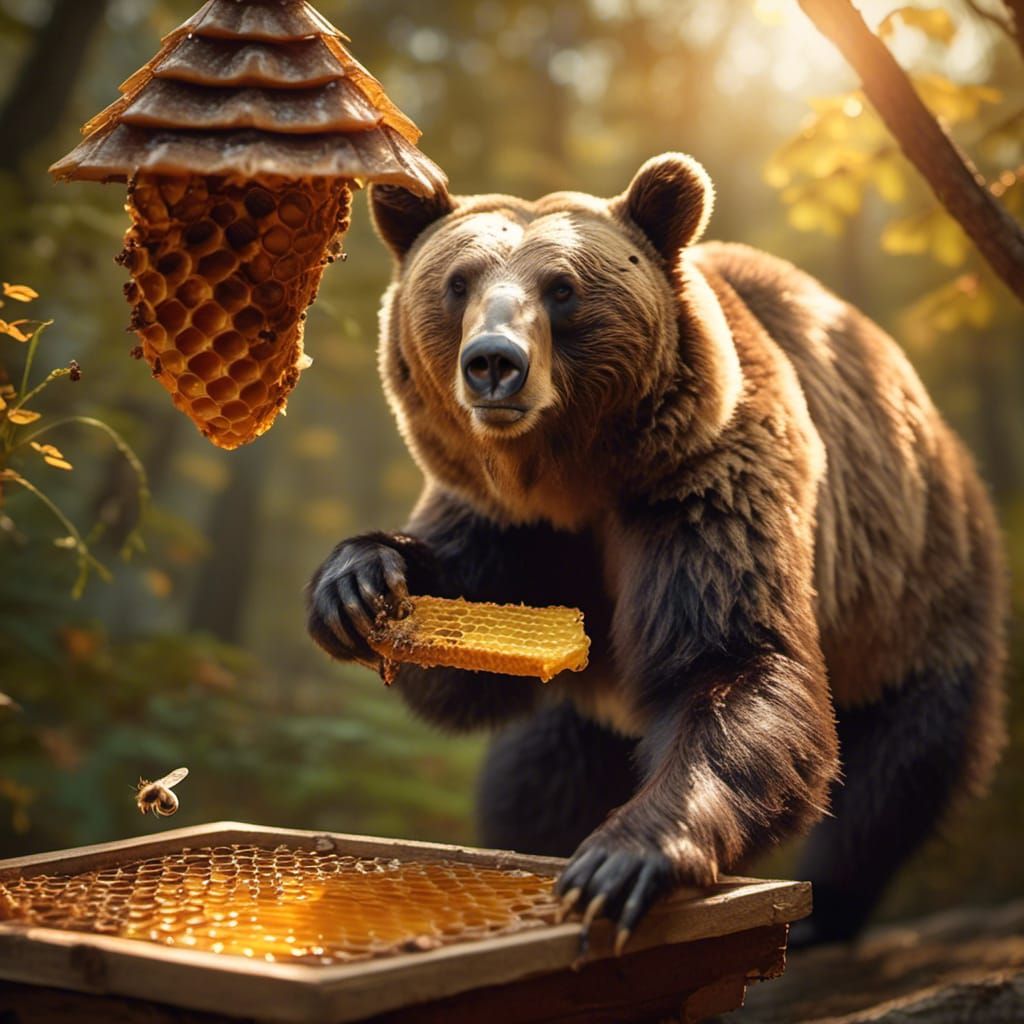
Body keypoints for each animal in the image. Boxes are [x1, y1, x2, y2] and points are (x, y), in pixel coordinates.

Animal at [307, 153, 1007, 949]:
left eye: (563, 288)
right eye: (458, 282)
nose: (493, 364)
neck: (576, 476)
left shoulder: (701, 483)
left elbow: (732, 660)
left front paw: (621, 863)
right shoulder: (506, 520)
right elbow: (467, 666)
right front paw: (358, 587)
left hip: (912, 597)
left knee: (898, 770)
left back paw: (829, 907)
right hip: (592, 709)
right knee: (533, 781)